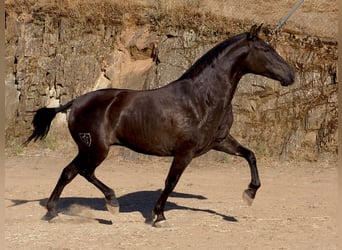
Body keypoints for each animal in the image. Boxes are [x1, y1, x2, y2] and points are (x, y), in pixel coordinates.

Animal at [26, 24, 294, 227]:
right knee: (84, 172)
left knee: (69, 172)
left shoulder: (219, 141)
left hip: (88, 149)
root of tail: (76, 102)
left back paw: (52, 212)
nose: (291, 75)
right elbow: (171, 182)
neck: (202, 97)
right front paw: (159, 217)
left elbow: (250, 155)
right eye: (266, 49)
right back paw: (112, 204)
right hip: (97, 149)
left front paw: (249, 194)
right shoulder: (185, 152)